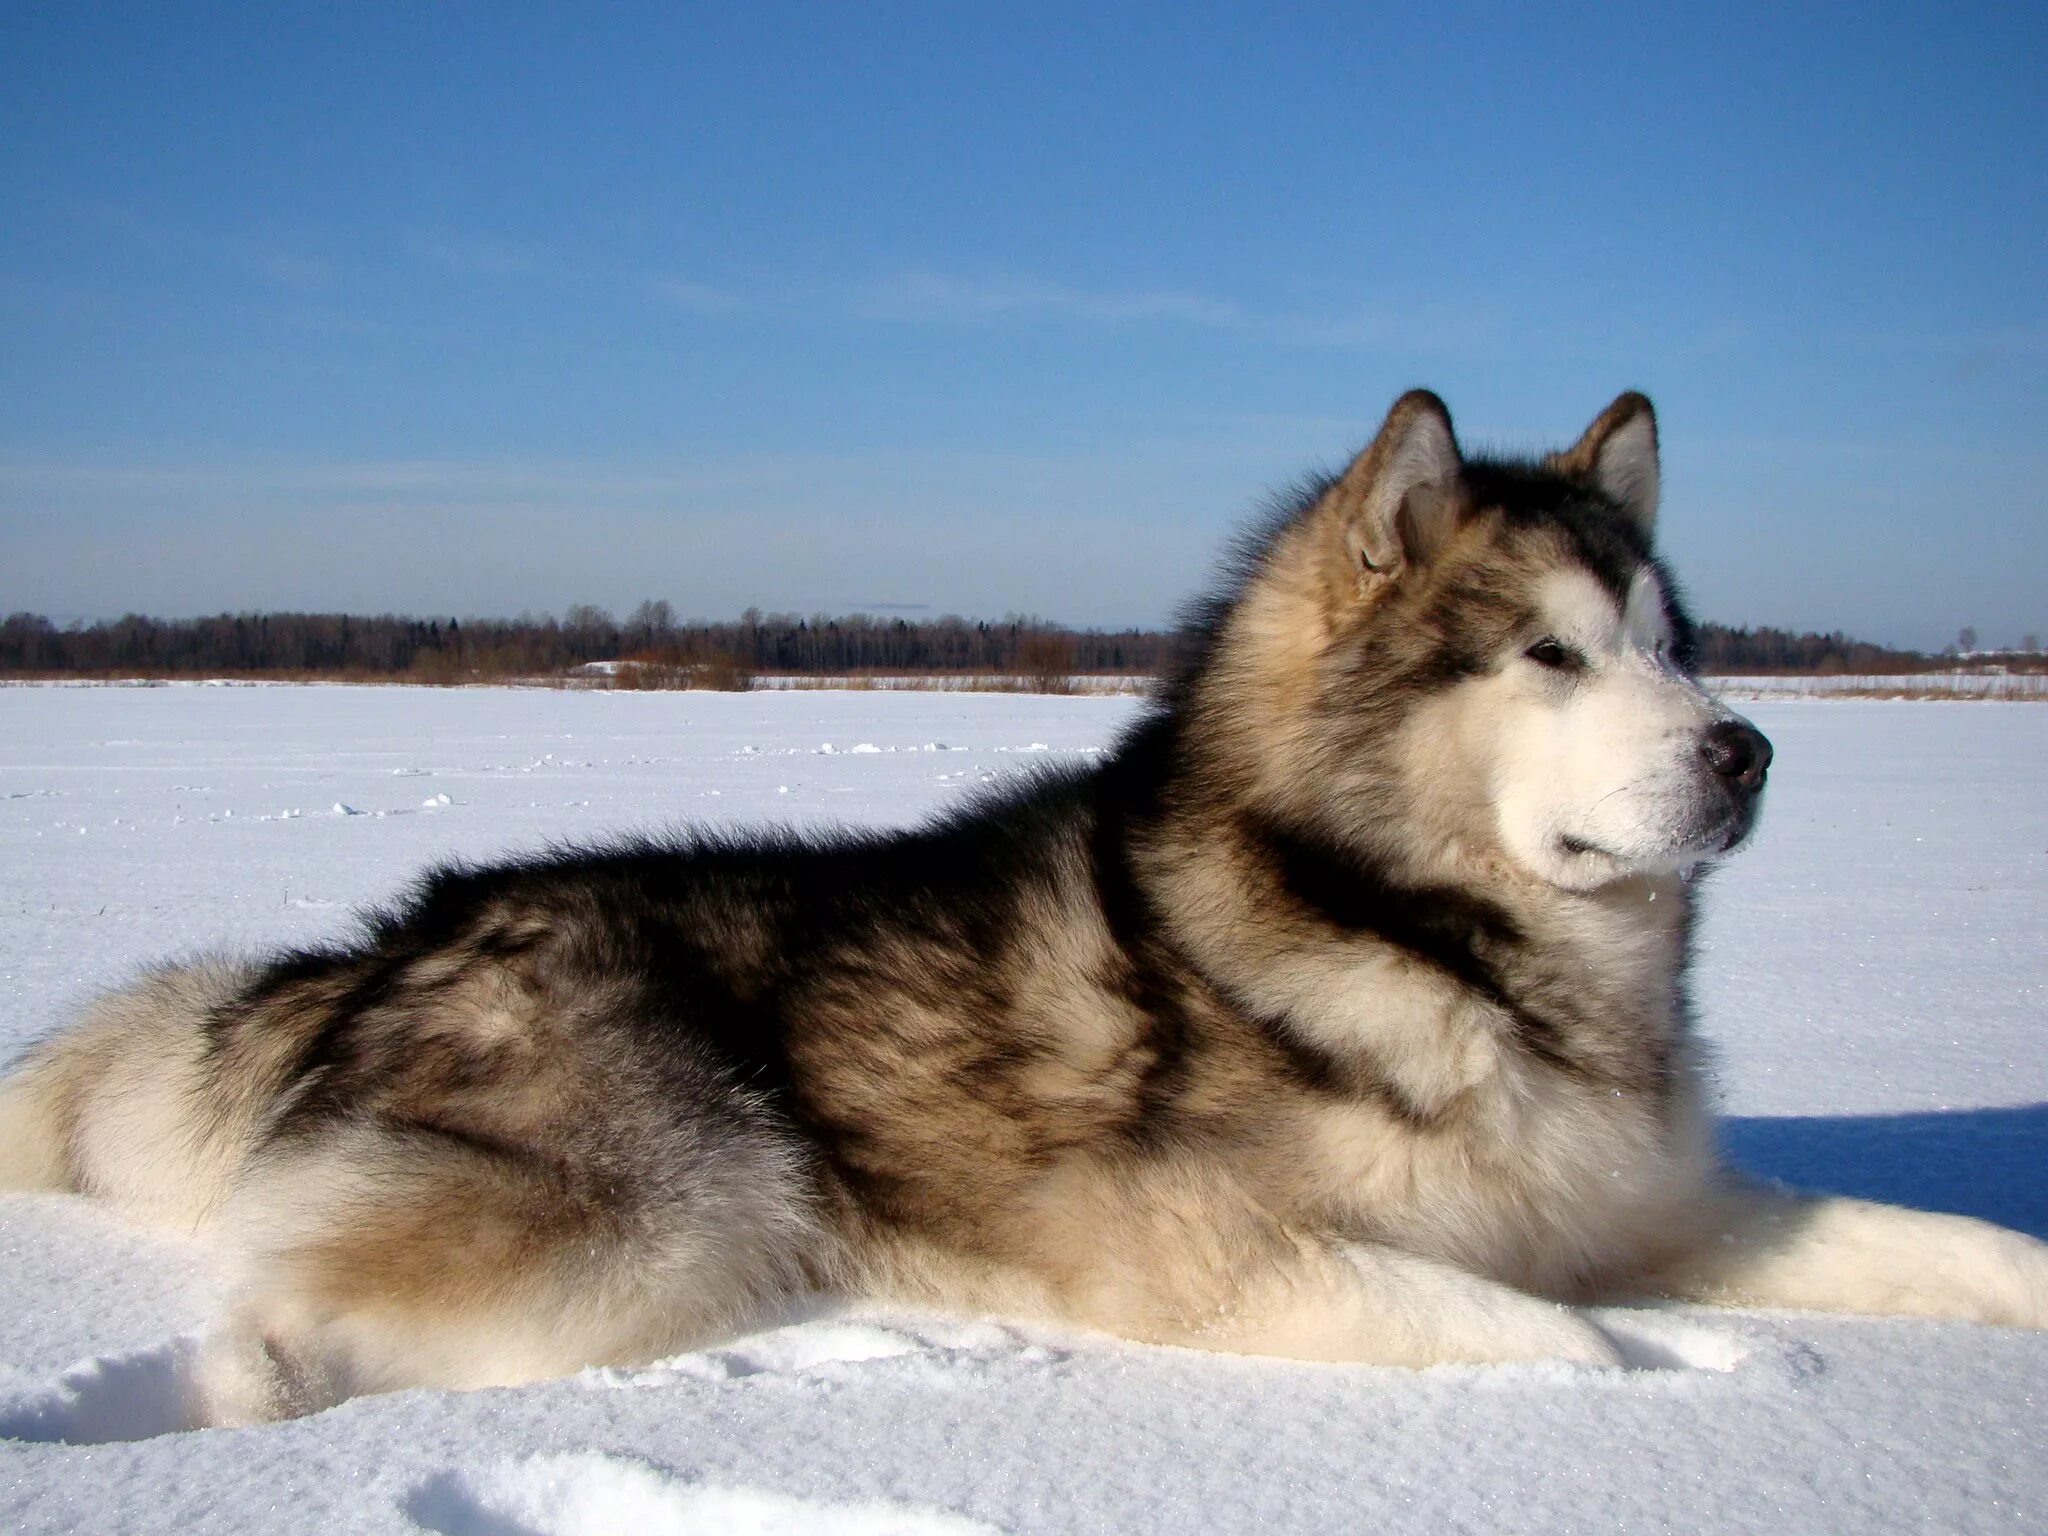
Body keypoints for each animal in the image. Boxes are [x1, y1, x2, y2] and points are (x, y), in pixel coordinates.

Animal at [4, 391, 2048, 1425]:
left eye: (1673, 645)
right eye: (1549, 654)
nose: (1747, 752)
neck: (1431, 944)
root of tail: (398, 926)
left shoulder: (1653, 1206)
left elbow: (1949, 1245)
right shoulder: (1215, 1248)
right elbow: (1574, 1344)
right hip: (680, 1194)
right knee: (309, 1315)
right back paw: (250, 1399)